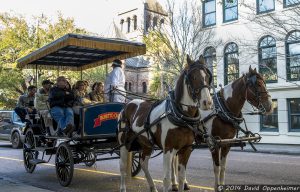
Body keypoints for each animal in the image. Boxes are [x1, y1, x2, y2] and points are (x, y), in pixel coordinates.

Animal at [117, 54, 213, 191]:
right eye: (193, 77)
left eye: (208, 77)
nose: (207, 102)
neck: (181, 116)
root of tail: (128, 105)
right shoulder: (168, 150)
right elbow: (166, 179)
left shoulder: (186, 149)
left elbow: (182, 177)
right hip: (124, 143)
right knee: (122, 165)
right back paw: (123, 187)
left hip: (146, 144)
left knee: (143, 163)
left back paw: (152, 187)